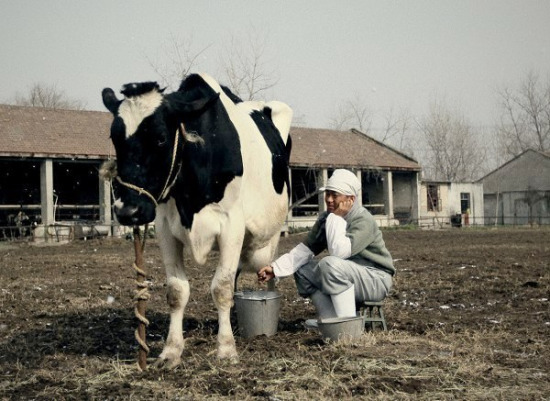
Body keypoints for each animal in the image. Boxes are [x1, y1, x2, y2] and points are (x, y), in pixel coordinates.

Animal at [102, 72, 296, 366]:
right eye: (114, 137)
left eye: (161, 138)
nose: (128, 211)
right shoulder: (164, 228)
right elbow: (177, 291)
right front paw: (171, 351)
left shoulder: (232, 225)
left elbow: (222, 288)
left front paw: (226, 349)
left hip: (269, 237)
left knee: (268, 274)